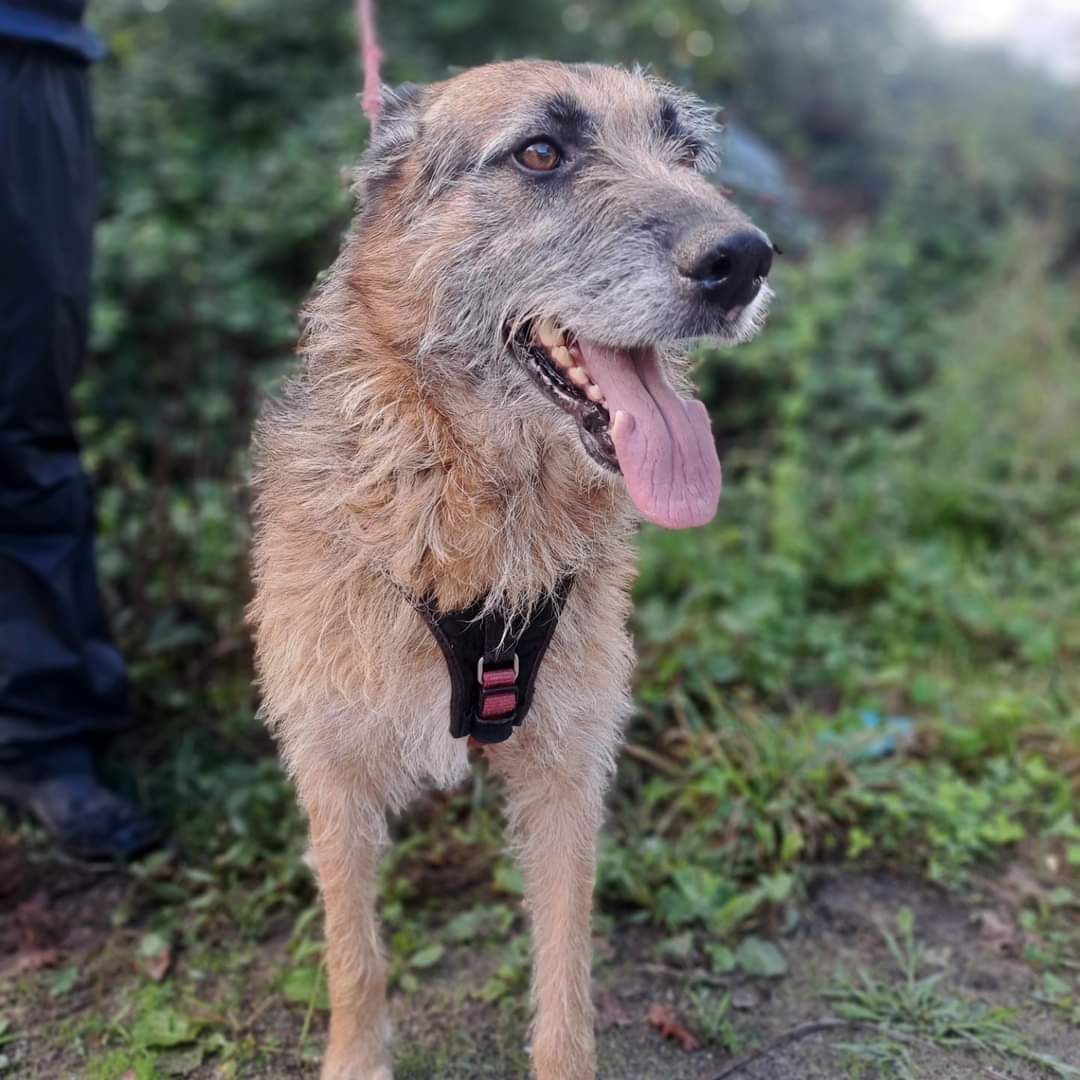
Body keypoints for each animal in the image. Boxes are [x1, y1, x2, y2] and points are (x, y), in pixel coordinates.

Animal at [249, 60, 772, 1080]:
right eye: (539, 153)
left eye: (686, 150)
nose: (745, 259)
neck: (474, 515)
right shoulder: (331, 767)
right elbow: (353, 955)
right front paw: (355, 1060)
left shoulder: (568, 768)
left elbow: (566, 966)